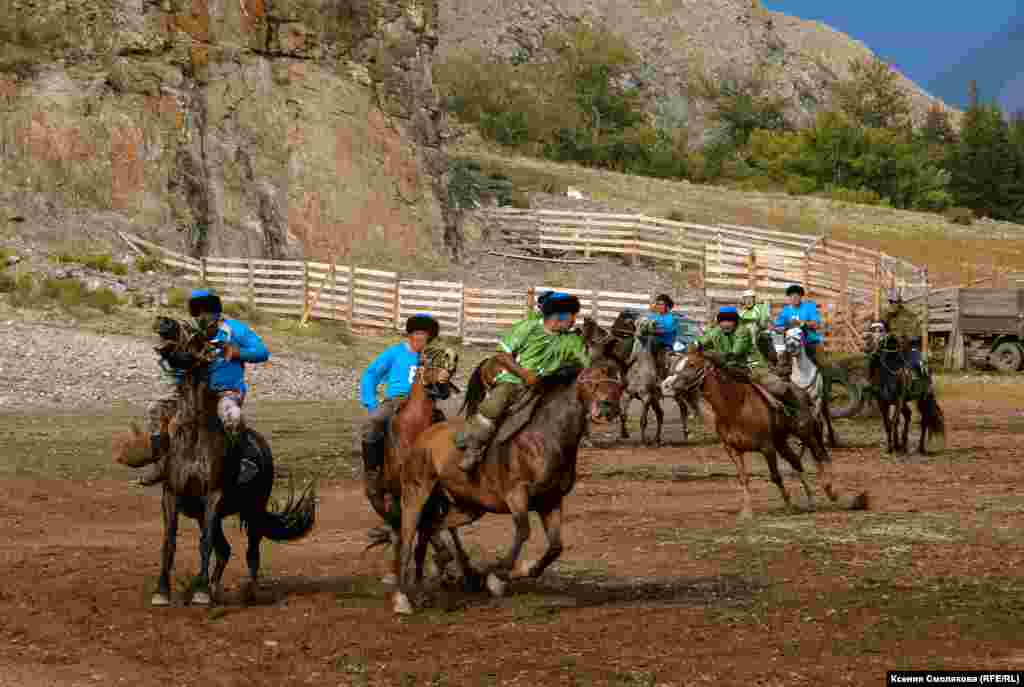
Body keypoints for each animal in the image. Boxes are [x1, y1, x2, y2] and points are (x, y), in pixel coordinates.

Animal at [115, 319, 315, 606]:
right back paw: (213, 589)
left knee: (251, 552)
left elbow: (205, 543)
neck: (195, 436)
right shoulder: (172, 495)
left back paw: (246, 592)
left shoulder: (213, 496)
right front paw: (163, 590)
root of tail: (263, 447)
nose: (163, 321)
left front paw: (199, 591)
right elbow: (169, 542)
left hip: (253, 510)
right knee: (225, 550)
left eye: (194, 333)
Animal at [389, 360, 622, 614]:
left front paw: (525, 570)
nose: (607, 408)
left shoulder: (550, 501)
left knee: (430, 527)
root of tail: (424, 437)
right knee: (407, 538)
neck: (545, 437)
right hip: (416, 492)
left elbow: (555, 547)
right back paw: (402, 598)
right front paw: (497, 578)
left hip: (469, 508)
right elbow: (523, 531)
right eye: (590, 380)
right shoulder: (516, 494)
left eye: (618, 383)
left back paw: (425, 586)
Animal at [659, 350, 868, 522]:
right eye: (677, 364)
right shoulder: (733, 450)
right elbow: (743, 479)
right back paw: (811, 501)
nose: (666, 385)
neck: (735, 406)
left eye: (692, 364)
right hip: (781, 442)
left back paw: (833, 492)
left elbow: (775, 476)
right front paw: (747, 512)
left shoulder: (766, 447)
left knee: (821, 456)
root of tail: (802, 393)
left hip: (805, 434)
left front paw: (789, 504)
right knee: (797, 463)